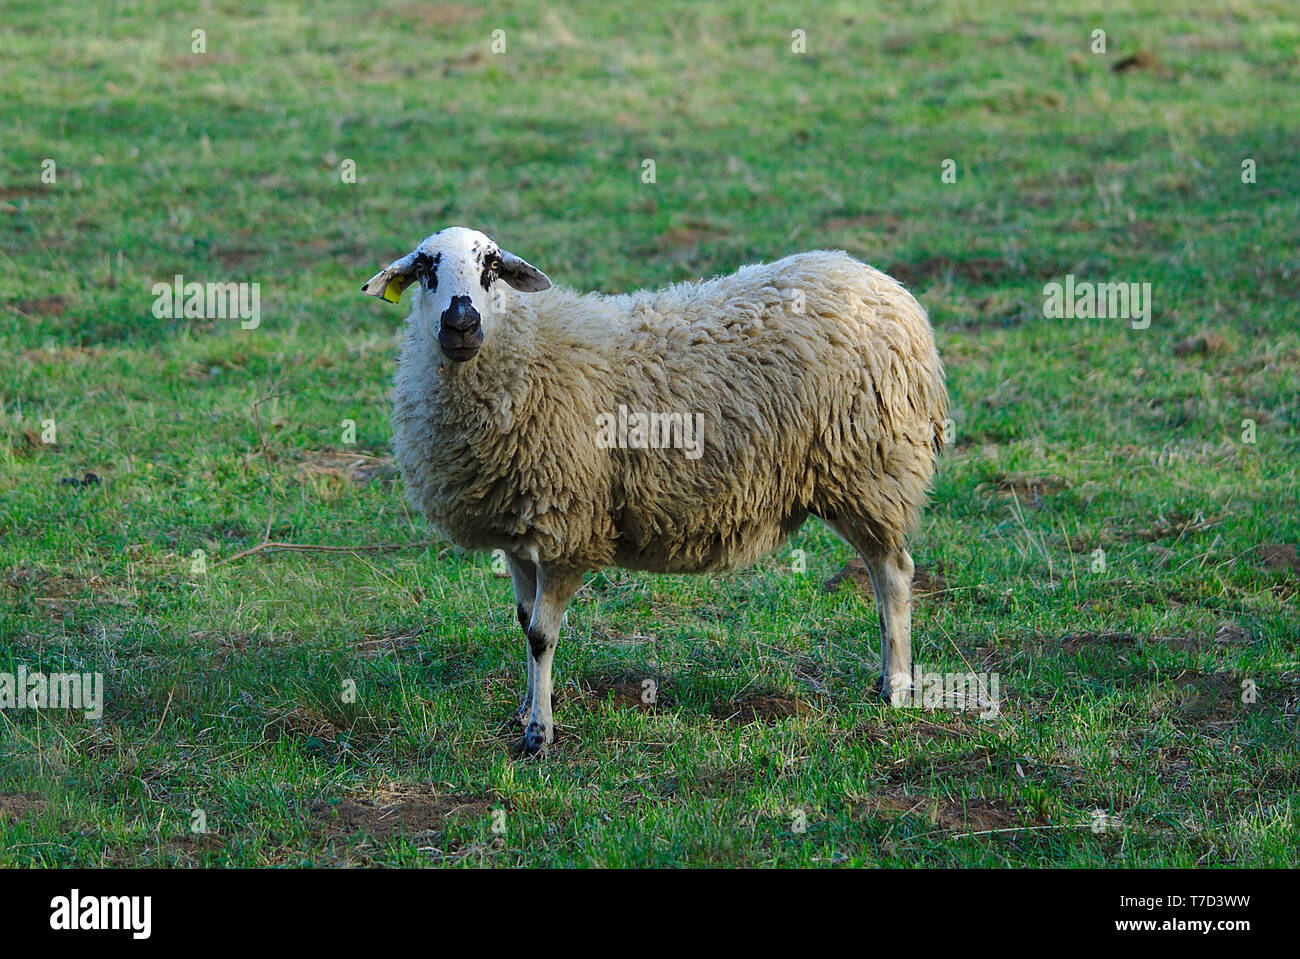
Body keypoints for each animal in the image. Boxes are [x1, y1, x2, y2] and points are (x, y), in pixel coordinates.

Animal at [361, 226, 951, 753]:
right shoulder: (519, 532)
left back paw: (897, 689)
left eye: (491, 266)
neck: (526, 354)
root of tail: (883, 285)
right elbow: (524, 622)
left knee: (893, 574)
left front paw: (539, 735)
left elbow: (542, 635)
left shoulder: (569, 528)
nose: (462, 322)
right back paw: (885, 679)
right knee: (881, 574)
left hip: (869, 471)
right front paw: (526, 709)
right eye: (424, 268)